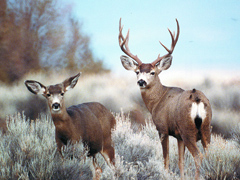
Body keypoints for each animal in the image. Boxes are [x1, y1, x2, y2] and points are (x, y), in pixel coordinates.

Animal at [118, 18, 212, 180]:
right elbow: (180, 161)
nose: (141, 81)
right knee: (209, 154)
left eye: (152, 72)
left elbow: (166, 159)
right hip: (206, 129)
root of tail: (197, 99)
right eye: (137, 72)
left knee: (198, 156)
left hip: (188, 131)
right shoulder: (179, 136)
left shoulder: (162, 129)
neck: (158, 101)